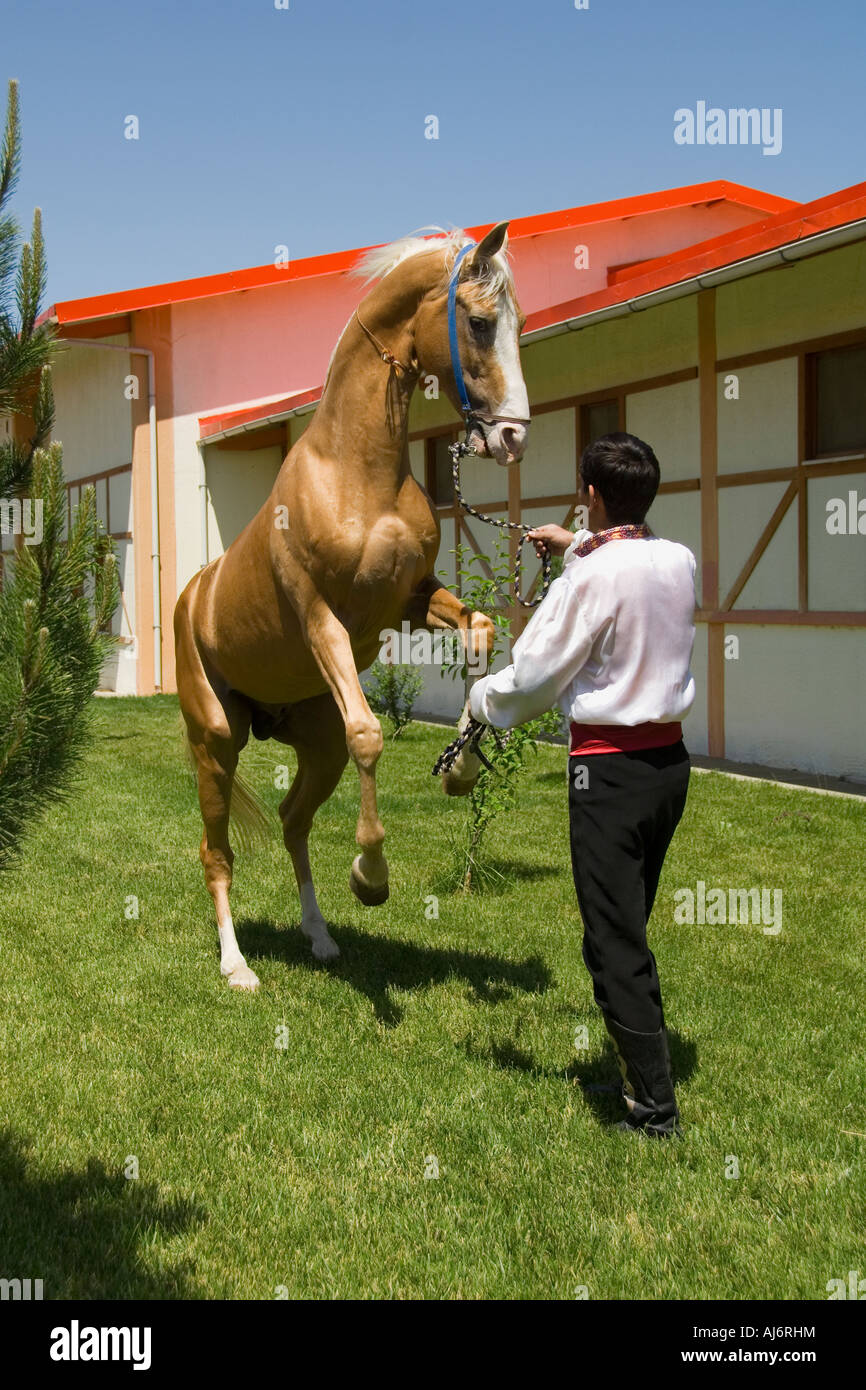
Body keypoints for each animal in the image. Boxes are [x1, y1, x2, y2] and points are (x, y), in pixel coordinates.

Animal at [174, 222, 530, 990]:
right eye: (479, 323)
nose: (514, 436)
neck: (356, 473)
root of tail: (192, 599)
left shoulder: (409, 604)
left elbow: (481, 632)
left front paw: (462, 766)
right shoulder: (322, 621)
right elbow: (371, 733)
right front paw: (371, 876)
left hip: (316, 741)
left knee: (292, 821)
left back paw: (320, 938)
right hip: (215, 741)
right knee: (216, 851)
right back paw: (237, 966)